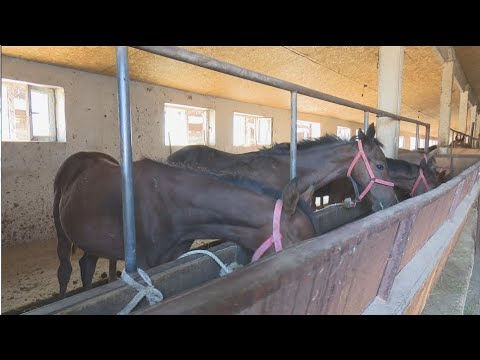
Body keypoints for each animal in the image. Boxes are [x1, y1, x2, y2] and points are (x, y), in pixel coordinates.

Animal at [53, 153, 316, 296]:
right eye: (296, 244)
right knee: (65, 270)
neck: (171, 205)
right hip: (62, 233)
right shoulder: (146, 263)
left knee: (87, 266)